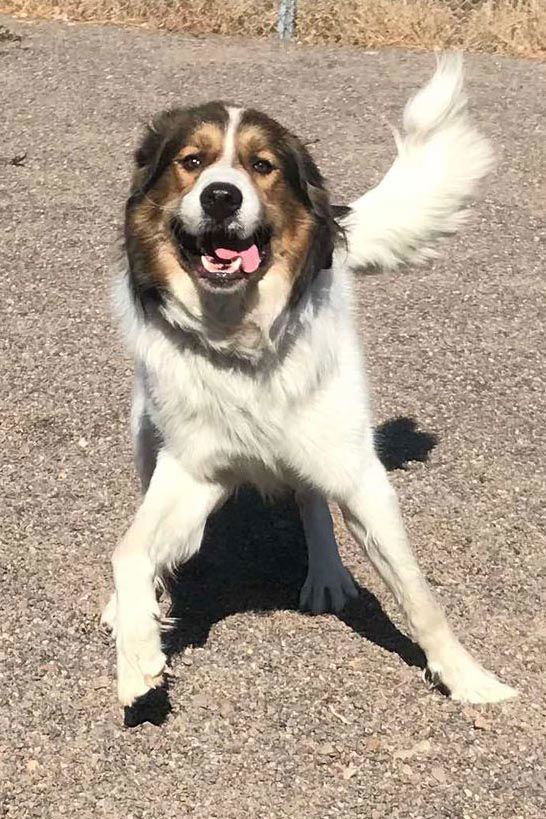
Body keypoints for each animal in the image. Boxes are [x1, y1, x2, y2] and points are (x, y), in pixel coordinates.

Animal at [102, 56, 516, 712]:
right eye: (191, 161)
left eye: (262, 166)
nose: (221, 195)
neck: (240, 338)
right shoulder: (192, 471)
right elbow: (130, 550)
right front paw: (137, 652)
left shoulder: (360, 474)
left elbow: (419, 596)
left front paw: (468, 679)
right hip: (144, 433)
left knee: (313, 497)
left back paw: (325, 572)